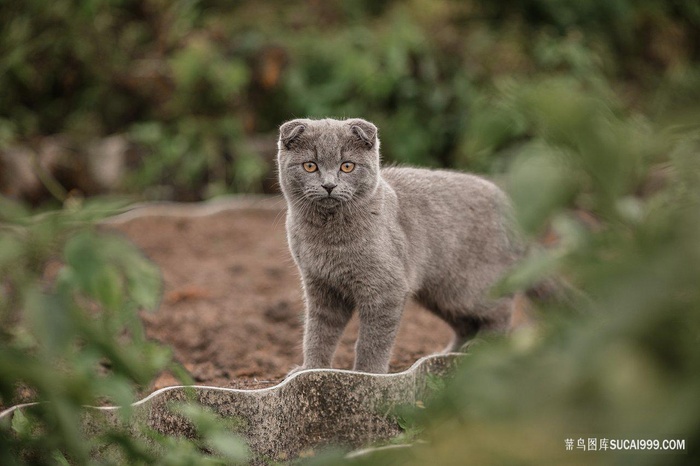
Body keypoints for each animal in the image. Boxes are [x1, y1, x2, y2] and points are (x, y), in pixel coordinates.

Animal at [276, 117, 516, 374]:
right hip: (439, 293)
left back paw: (484, 346)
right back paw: (449, 353)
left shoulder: (386, 289)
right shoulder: (320, 286)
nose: (329, 185)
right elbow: (318, 332)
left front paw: (367, 374)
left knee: (501, 309)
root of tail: (510, 206)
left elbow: (372, 340)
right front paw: (310, 369)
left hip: (468, 288)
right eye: (310, 166)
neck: (328, 239)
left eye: (347, 166)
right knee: (466, 324)